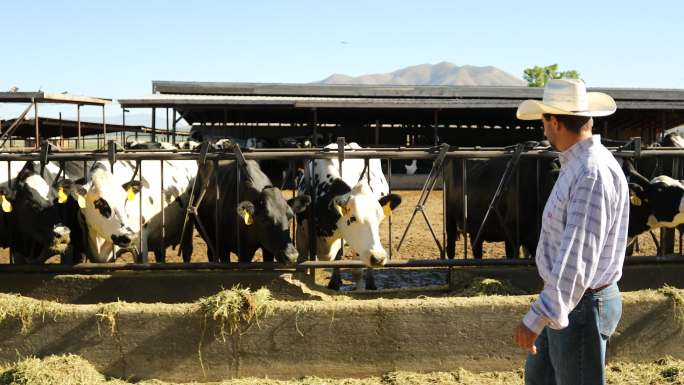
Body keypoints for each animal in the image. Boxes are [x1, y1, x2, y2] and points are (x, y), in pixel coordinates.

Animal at [294, 142, 400, 290]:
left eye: (378, 219)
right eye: (353, 218)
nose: (378, 258)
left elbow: (357, 272)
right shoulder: (302, 231)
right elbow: (302, 264)